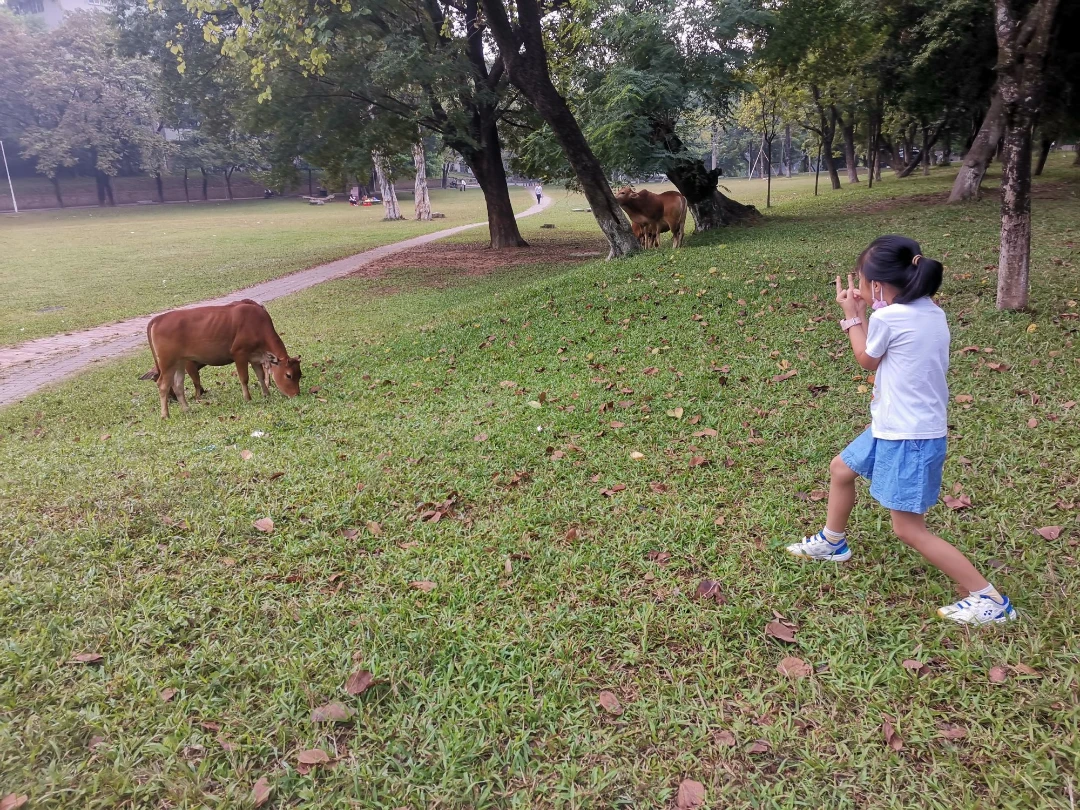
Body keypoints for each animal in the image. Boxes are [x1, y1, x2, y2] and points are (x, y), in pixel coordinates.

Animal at [139, 302, 302, 421]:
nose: (296, 395)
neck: (257, 325)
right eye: (288, 375)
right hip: (168, 362)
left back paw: (187, 409)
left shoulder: (255, 357)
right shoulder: (239, 354)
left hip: (179, 362)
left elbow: (261, 376)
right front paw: (248, 398)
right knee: (163, 385)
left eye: (300, 375)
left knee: (178, 386)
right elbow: (244, 378)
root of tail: (158, 318)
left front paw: (266, 394)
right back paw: (165, 415)